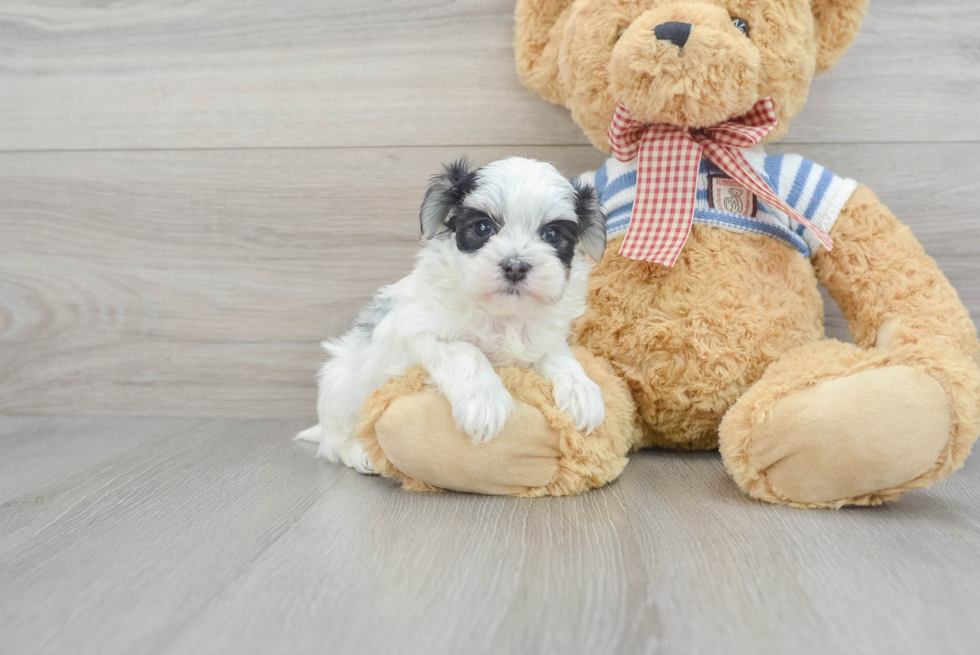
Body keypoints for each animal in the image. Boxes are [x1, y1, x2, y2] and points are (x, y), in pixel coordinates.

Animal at [294, 156, 608, 474]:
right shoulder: (422, 328)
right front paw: (485, 402)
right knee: (334, 442)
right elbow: (467, 352)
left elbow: (561, 359)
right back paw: (360, 453)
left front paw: (583, 392)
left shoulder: (543, 342)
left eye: (552, 234)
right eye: (482, 227)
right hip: (341, 389)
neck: (503, 314)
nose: (515, 265)